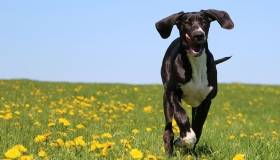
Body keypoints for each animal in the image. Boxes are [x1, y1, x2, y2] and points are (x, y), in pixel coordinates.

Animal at [155, 9, 234, 155]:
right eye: (186, 22)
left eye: (204, 21)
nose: (198, 35)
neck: (196, 63)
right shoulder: (173, 93)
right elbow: (181, 115)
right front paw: (185, 138)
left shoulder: (206, 101)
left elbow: (198, 126)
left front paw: (187, 143)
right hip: (166, 99)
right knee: (168, 129)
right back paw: (170, 150)